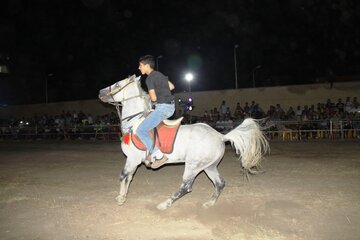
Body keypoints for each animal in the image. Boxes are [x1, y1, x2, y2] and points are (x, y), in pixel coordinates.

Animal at [99, 75, 270, 210]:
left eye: (117, 85)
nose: (100, 92)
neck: (135, 122)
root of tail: (220, 136)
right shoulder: (133, 160)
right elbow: (128, 177)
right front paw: (122, 196)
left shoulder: (132, 159)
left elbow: (123, 176)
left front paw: (121, 198)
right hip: (209, 166)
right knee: (219, 183)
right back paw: (209, 204)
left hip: (193, 166)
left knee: (186, 187)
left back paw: (164, 204)